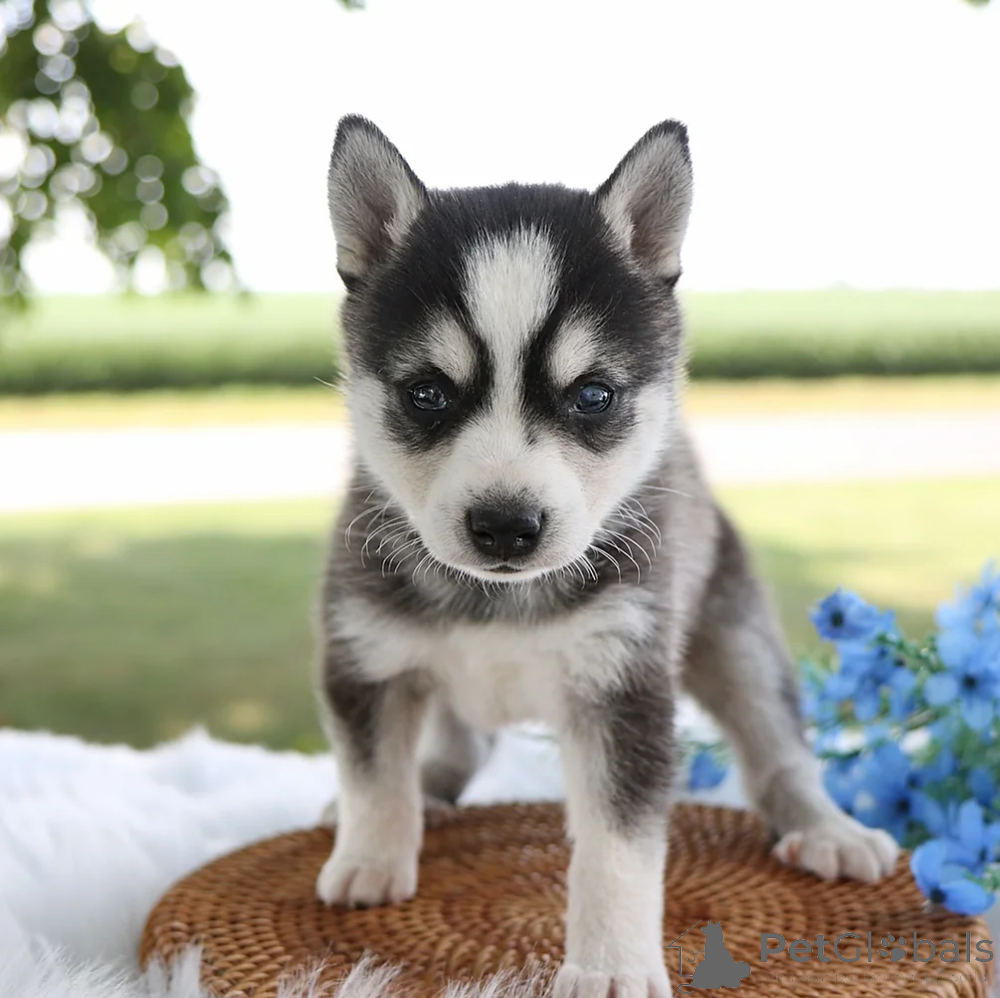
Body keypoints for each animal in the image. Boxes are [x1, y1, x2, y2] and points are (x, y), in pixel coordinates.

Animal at [314, 116, 898, 998]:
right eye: (427, 394)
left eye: (593, 395)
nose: (506, 527)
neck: (500, 601)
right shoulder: (366, 658)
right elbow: (373, 775)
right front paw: (371, 858)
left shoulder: (624, 687)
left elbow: (617, 851)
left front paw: (612, 964)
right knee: (458, 744)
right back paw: (423, 791)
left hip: (735, 635)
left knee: (780, 750)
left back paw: (829, 828)